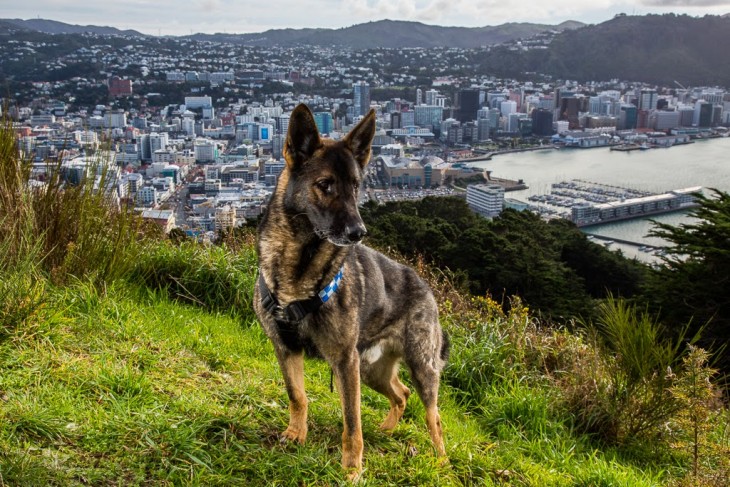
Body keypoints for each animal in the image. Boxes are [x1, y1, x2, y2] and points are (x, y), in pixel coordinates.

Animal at [255, 104, 450, 480]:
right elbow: (297, 395)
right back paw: (386, 430)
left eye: (357, 186)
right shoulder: (285, 347)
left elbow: (352, 421)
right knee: (401, 393)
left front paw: (351, 470)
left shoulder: (344, 361)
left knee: (433, 417)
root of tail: (426, 288)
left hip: (419, 367)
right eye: (325, 185)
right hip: (371, 370)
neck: (300, 265)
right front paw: (296, 434)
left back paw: (441, 461)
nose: (359, 232)